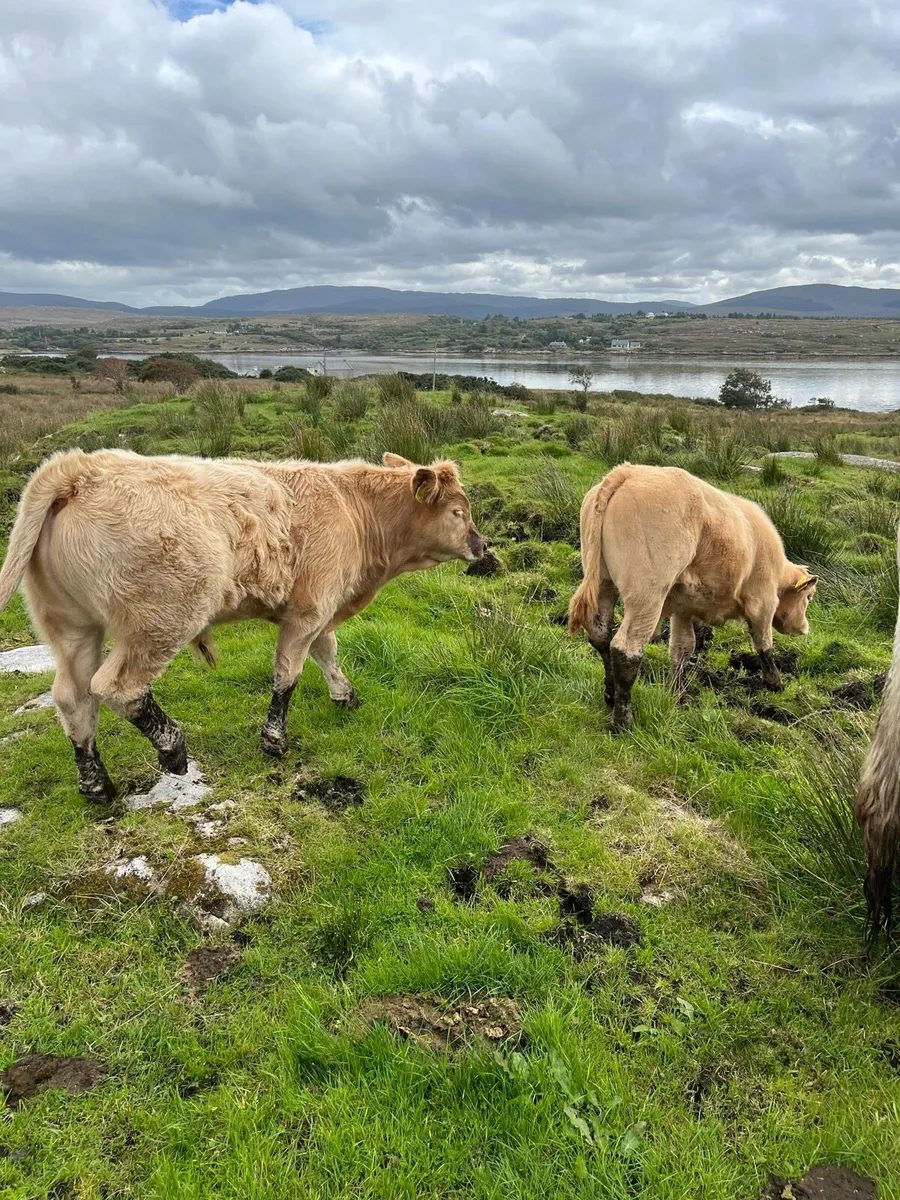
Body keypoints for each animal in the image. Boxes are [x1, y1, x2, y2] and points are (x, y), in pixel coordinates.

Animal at [0, 448, 485, 802]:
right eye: (458, 512)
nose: (484, 546)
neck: (356, 510)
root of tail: (79, 466)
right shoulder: (310, 607)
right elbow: (288, 673)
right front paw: (275, 740)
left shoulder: (319, 607)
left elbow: (327, 652)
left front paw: (345, 695)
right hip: (160, 620)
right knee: (117, 688)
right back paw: (172, 748)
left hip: (71, 626)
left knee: (73, 697)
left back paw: (96, 785)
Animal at [568, 463, 818, 730]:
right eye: (809, 597)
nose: (804, 629)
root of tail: (629, 472)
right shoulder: (762, 603)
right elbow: (764, 644)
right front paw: (775, 684)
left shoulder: (683, 609)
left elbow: (681, 650)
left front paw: (676, 695)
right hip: (646, 595)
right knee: (625, 649)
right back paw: (623, 721)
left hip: (603, 583)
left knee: (601, 636)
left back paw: (610, 696)